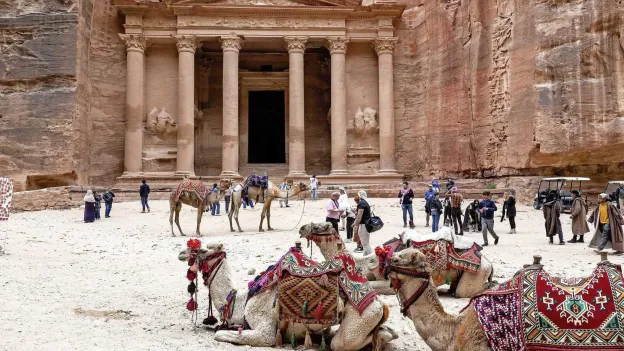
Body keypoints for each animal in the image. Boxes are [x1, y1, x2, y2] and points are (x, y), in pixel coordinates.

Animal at [178, 243, 398, 350]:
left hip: (362, 315)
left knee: (340, 343)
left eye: (201, 249)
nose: (181, 253)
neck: (240, 301)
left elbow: (220, 334)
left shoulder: (264, 328)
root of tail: (379, 303)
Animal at [300, 224, 494, 298]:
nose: (302, 228)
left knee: (464, 291)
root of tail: (488, 262)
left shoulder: (389, 281)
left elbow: (375, 287)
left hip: (477, 272)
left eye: (320, 227)